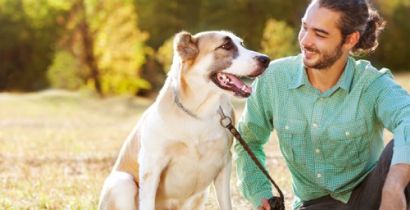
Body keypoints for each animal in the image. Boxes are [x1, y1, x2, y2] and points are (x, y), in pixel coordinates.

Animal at [96, 30, 270, 210]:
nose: (266, 59)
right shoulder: (151, 167)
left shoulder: (224, 163)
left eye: (241, 44)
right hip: (122, 183)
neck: (199, 113)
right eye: (226, 46)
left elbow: (226, 204)